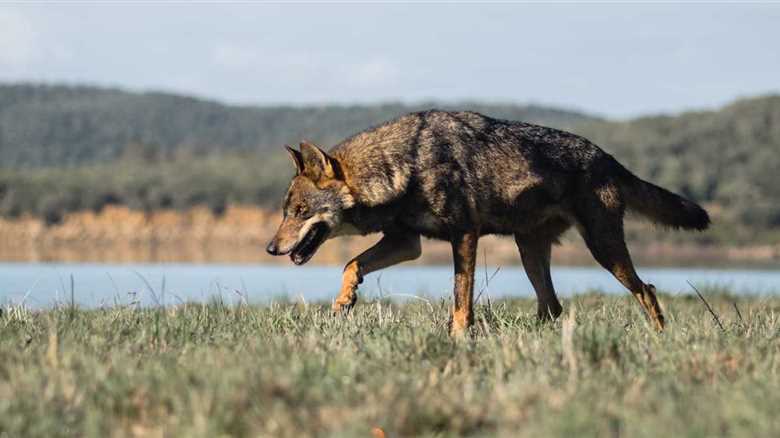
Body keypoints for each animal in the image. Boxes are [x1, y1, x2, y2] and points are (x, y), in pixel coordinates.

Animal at [266, 110, 710, 335]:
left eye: (299, 212)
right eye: (286, 211)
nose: (270, 248)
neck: (405, 163)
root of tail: (608, 158)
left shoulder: (464, 235)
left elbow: (461, 301)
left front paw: (460, 340)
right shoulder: (408, 243)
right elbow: (352, 263)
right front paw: (345, 300)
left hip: (604, 250)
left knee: (646, 290)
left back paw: (660, 340)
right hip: (530, 253)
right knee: (553, 307)